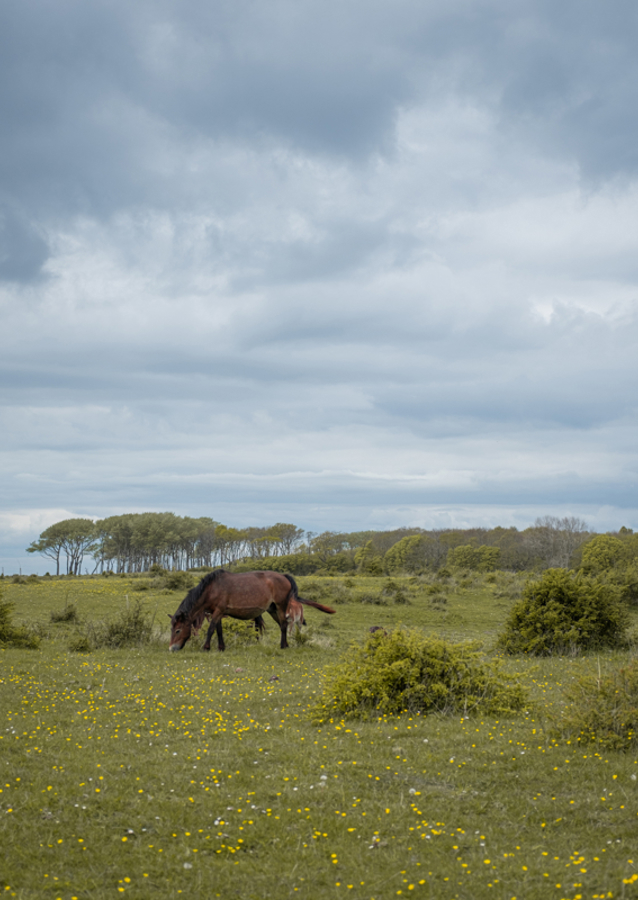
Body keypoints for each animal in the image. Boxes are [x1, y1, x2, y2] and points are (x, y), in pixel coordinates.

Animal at [168, 570, 335, 652]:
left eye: (177, 630)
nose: (171, 649)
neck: (212, 589)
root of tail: (283, 576)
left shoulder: (218, 612)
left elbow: (210, 630)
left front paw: (206, 647)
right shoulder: (218, 613)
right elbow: (219, 630)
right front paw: (221, 647)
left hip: (281, 606)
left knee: (283, 625)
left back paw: (283, 646)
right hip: (272, 609)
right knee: (283, 625)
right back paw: (286, 644)